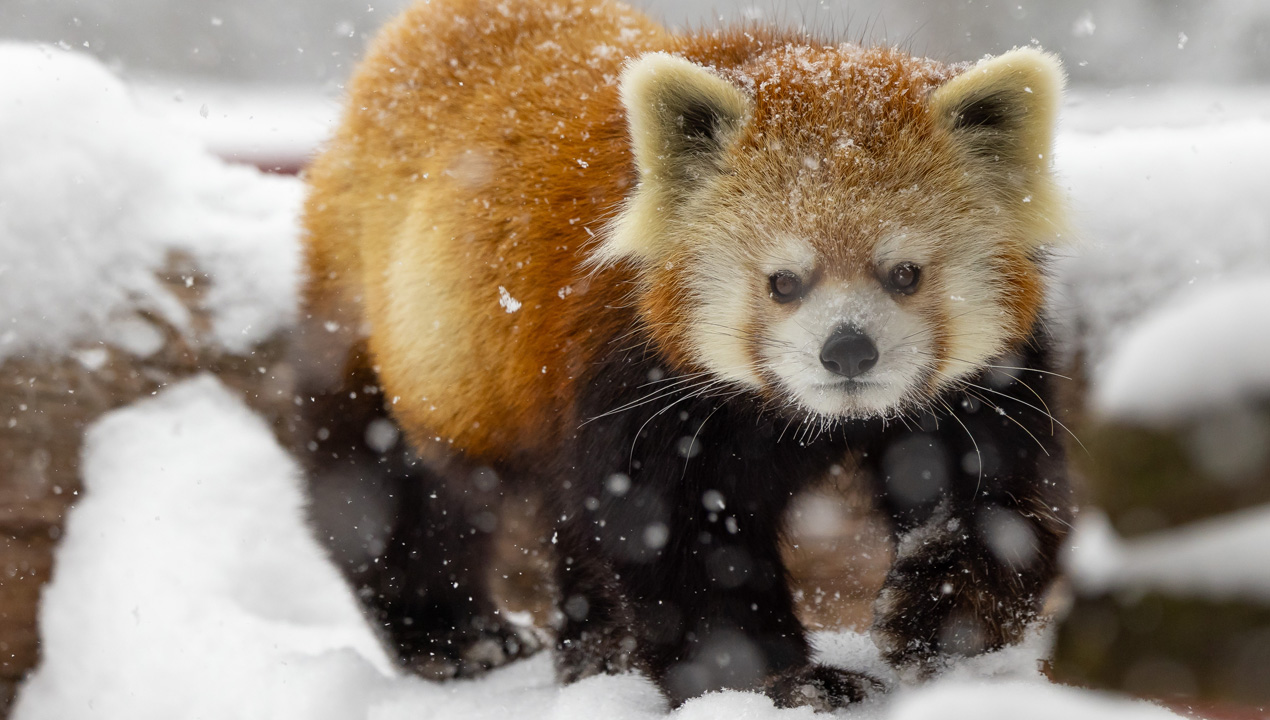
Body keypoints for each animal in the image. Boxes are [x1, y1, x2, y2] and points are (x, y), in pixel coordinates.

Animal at [294, 0, 1071, 711]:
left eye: (904, 274)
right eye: (783, 282)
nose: (849, 351)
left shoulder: (981, 384)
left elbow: (996, 490)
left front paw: (942, 608)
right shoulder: (637, 378)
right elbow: (678, 540)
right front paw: (779, 681)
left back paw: (594, 649)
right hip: (392, 332)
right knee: (387, 485)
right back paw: (456, 639)